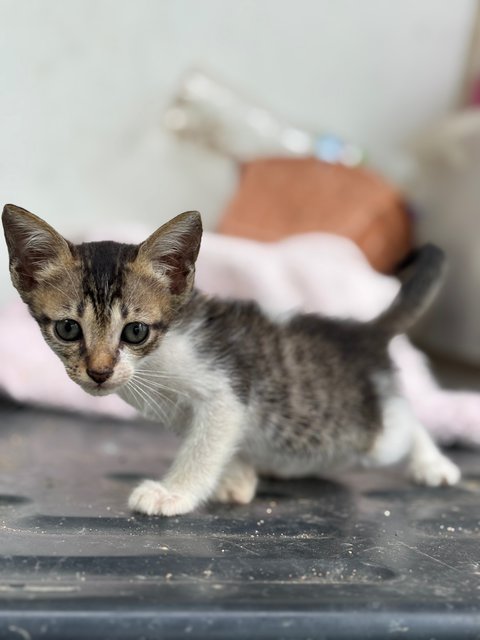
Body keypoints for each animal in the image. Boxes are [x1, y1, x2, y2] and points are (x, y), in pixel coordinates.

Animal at [1, 205, 460, 516]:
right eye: (68, 329)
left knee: (408, 421)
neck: (156, 361)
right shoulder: (181, 412)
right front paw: (236, 477)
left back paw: (433, 464)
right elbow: (216, 442)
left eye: (135, 332)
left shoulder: (227, 391)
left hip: (374, 437)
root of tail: (363, 332)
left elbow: (205, 445)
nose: (99, 372)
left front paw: (176, 492)